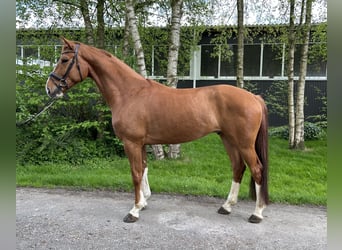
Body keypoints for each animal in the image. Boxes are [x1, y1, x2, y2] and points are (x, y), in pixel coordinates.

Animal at [46, 38, 270, 224]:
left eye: (64, 59)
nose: (49, 88)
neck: (129, 93)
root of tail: (254, 97)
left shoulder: (131, 143)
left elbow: (136, 173)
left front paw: (134, 210)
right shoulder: (142, 143)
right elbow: (144, 169)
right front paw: (143, 202)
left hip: (244, 143)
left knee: (257, 169)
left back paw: (257, 213)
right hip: (228, 139)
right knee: (238, 168)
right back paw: (226, 207)